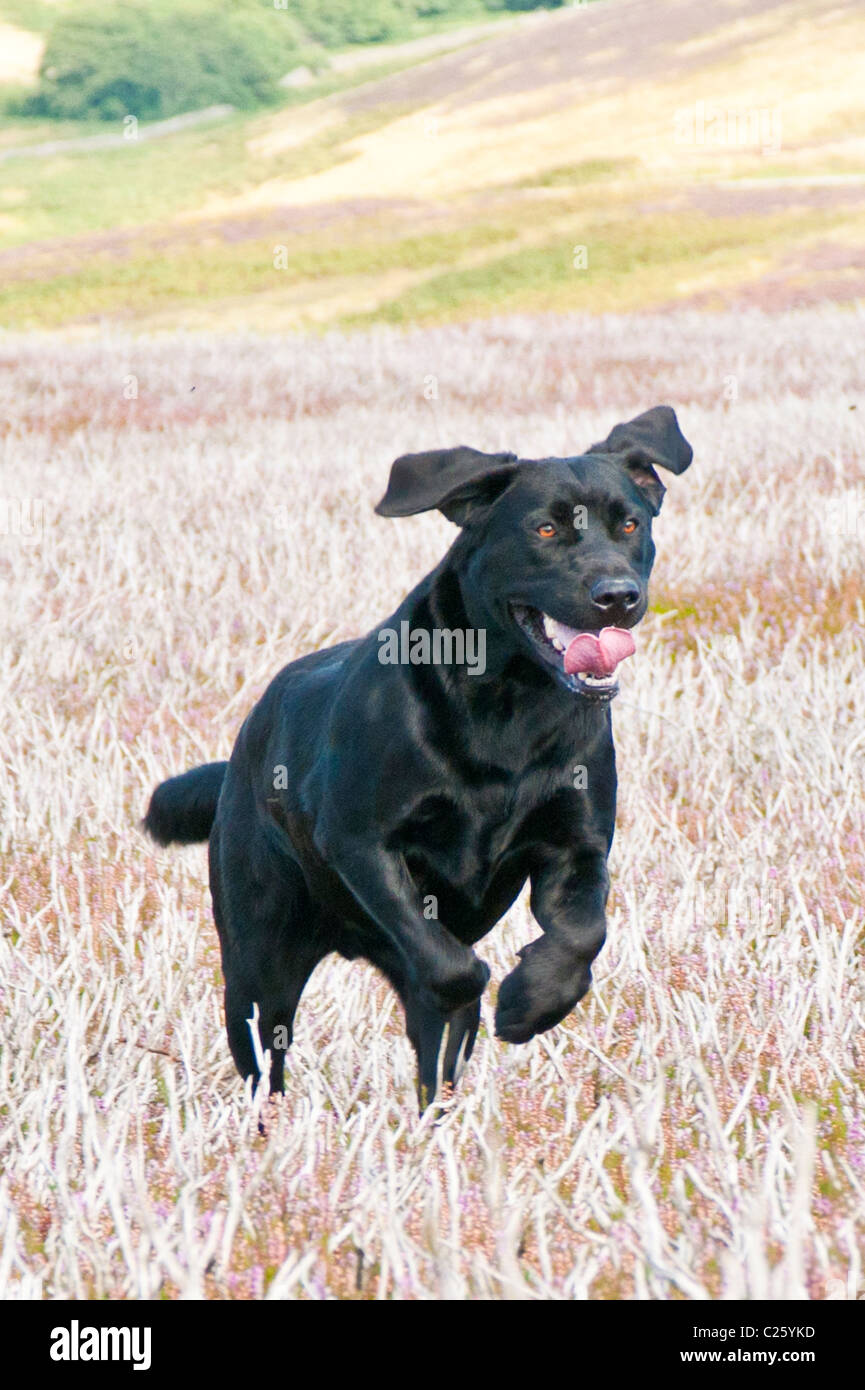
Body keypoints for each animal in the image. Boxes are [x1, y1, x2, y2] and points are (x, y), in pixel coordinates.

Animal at [146, 405, 695, 1106]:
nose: (618, 595)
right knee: (265, 1048)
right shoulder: (361, 842)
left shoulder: (577, 846)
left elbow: (581, 934)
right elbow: (452, 965)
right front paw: (495, 991)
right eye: (545, 528)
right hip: (257, 959)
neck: (511, 706)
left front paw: (531, 1001)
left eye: (630, 524)